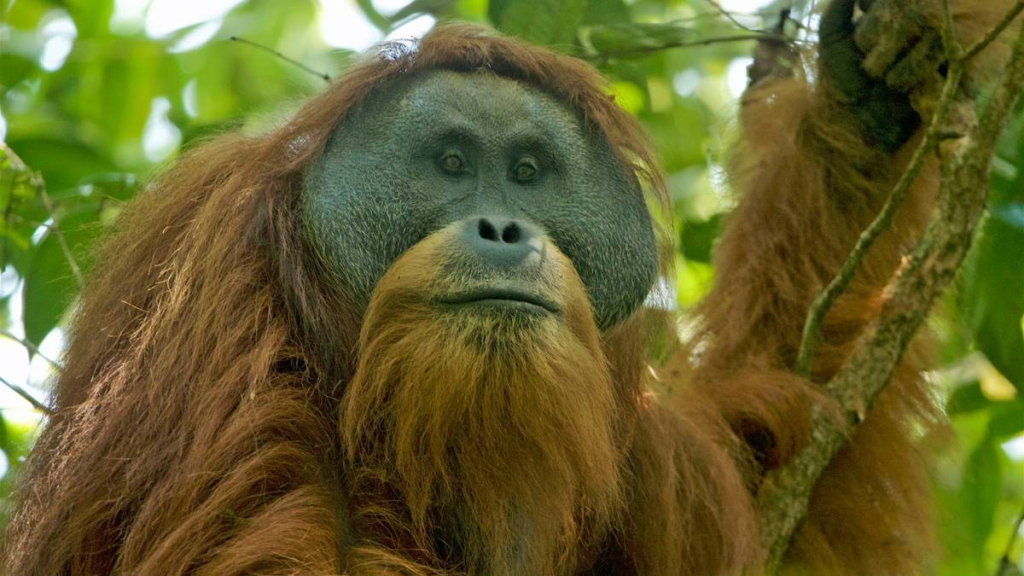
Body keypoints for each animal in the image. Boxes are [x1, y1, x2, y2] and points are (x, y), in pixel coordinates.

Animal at [1, 0, 1014, 574]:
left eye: (527, 173)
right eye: (451, 163)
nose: (502, 228)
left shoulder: (640, 460)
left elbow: (777, 461)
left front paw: (871, 96)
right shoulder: (214, 291)